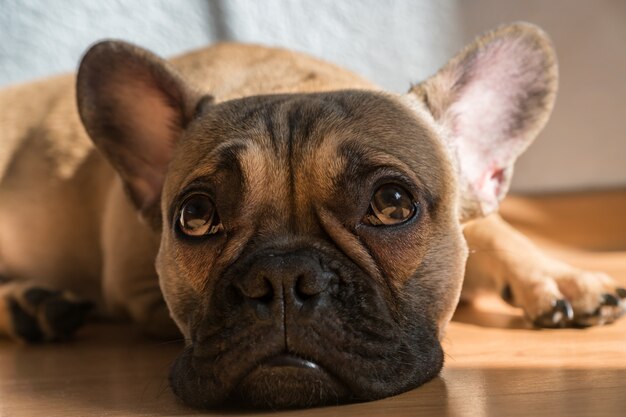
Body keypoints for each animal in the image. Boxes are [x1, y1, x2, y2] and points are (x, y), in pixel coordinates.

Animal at [0, 22, 620, 406]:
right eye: (195, 217)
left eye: (393, 204)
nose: (280, 278)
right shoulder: (131, 289)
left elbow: (493, 229)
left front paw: (559, 276)